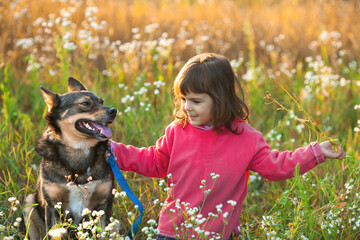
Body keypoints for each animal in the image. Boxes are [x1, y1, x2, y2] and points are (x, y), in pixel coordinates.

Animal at [23, 78, 116, 239]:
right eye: (85, 103)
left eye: (101, 101)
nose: (114, 111)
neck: (78, 149)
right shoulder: (52, 207)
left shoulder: (103, 205)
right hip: (29, 207)